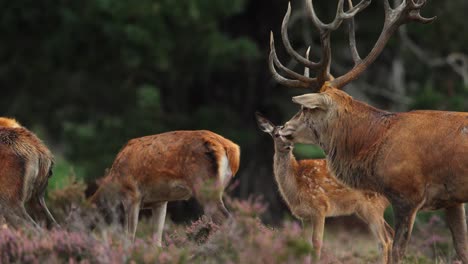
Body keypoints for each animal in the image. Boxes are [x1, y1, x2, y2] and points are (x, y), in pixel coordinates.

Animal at [89, 129, 239, 245]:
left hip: (204, 184)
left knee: (226, 219)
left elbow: (129, 238)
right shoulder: (159, 202)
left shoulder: (132, 195)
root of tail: (230, 148)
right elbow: (157, 241)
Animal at [254, 113, 394, 262]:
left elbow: (317, 243)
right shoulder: (305, 216)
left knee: (383, 241)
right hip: (367, 209)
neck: (295, 186)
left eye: (288, 135)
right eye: (276, 135)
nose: (288, 146)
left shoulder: (320, 207)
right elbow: (305, 243)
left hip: (372, 206)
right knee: (391, 234)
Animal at [268, 0, 466, 262]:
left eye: (304, 108)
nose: (283, 129)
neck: (375, 141)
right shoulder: (452, 199)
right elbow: (462, 249)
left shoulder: (407, 194)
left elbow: (397, 251)